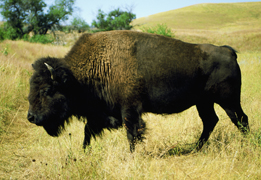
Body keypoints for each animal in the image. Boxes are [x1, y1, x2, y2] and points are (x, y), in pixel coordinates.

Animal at [26, 29, 248, 152]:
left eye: (47, 90)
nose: (31, 117)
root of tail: (228, 51)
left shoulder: (129, 109)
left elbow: (132, 133)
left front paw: (131, 156)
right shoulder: (102, 114)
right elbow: (88, 131)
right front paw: (84, 152)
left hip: (228, 100)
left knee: (240, 119)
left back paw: (247, 143)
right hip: (203, 102)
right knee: (211, 121)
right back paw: (195, 149)